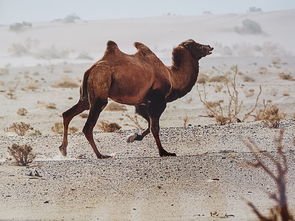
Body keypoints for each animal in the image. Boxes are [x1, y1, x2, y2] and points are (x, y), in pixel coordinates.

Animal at [59, 38, 214, 158]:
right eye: (196, 45)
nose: (209, 46)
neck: (172, 77)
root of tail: (91, 69)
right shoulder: (158, 101)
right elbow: (154, 127)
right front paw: (164, 152)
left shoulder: (142, 103)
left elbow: (148, 125)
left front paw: (133, 137)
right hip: (100, 91)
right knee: (87, 127)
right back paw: (101, 155)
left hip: (86, 97)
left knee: (68, 114)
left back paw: (63, 149)